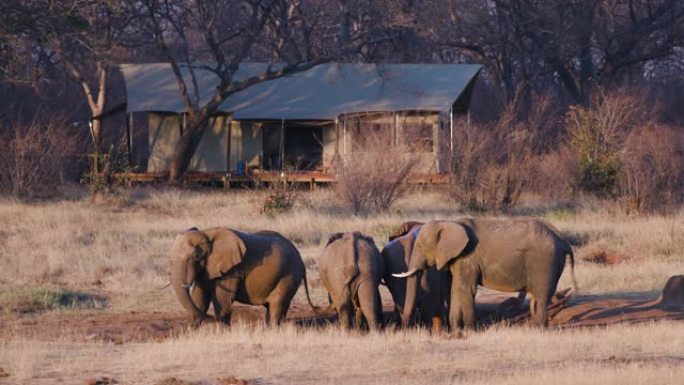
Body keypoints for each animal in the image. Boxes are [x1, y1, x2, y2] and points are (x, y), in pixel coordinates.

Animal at [171, 226, 316, 326]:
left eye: (196, 256)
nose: (211, 319)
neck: (207, 233)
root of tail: (301, 260)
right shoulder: (207, 268)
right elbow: (199, 298)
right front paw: (191, 333)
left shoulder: (232, 269)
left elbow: (223, 300)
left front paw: (223, 332)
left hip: (288, 276)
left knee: (277, 305)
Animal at [392, 218, 576, 328]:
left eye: (420, 246)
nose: (404, 326)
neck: (448, 223)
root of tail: (563, 240)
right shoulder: (459, 259)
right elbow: (456, 289)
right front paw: (456, 334)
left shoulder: (468, 258)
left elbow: (466, 289)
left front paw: (469, 332)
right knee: (538, 298)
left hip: (544, 262)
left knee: (542, 297)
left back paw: (538, 330)